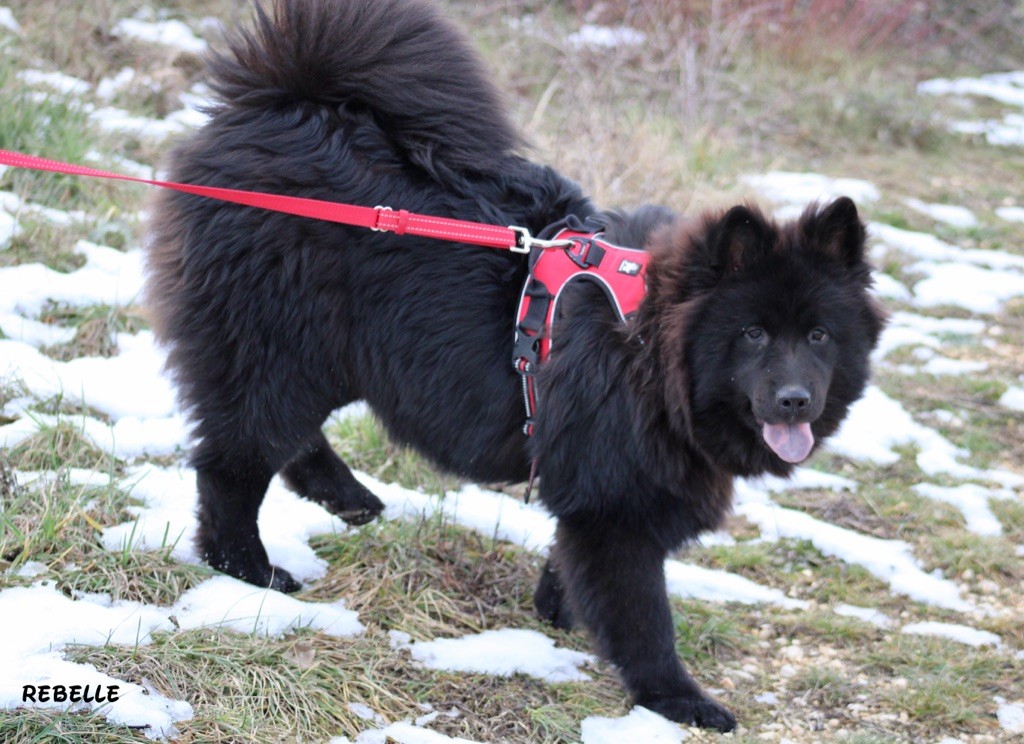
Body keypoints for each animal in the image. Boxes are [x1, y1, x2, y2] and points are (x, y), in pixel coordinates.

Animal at [146, 0, 888, 732]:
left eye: (819, 335)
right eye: (753, 334)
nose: (795, 399)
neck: (646, 350)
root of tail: (284, 106)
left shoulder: (593, 484)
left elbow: (572, 564)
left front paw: (560, 615)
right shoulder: (617, 507)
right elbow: (644, 617)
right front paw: (678, 700)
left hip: (315, 359)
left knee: (282, 439)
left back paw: (348, 498)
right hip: (278, 350)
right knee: (234, 463)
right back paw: (249, 569)